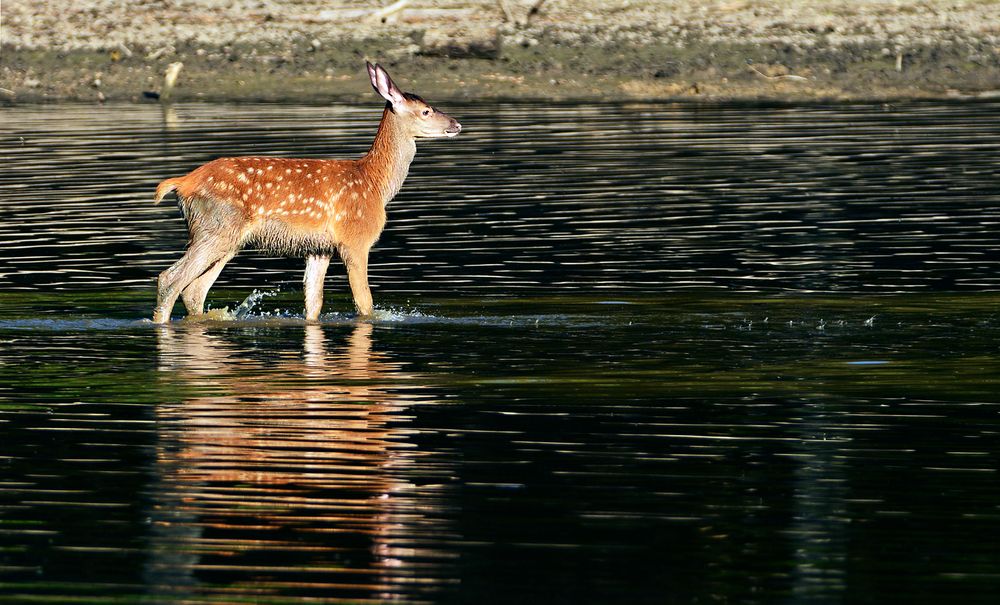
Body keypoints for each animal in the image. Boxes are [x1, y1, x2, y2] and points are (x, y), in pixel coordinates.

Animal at [150, 62, 462, 324]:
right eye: (426, 110)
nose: (456, 124)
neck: (375, 183)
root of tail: (182, 183)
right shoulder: (355, 238)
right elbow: (364, 303)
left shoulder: (318, 248)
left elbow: (313, 304)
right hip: (217, 226)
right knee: (171, 278)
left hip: (224, 237)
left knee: (194, 289)